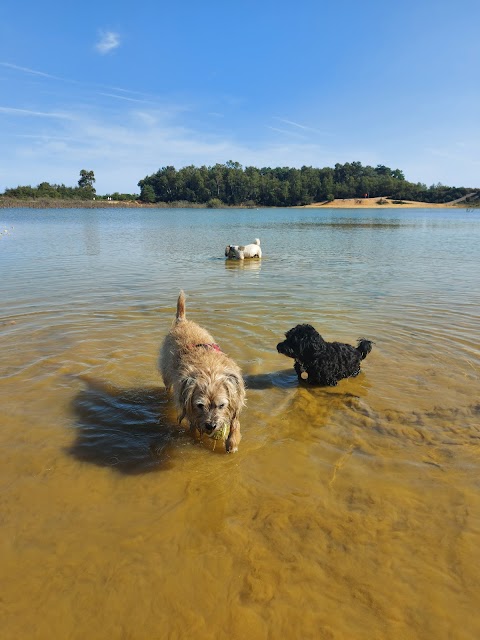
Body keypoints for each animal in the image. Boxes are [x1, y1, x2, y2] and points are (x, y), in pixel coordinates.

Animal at [159, 292, 246, 452]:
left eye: (221, 405)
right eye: (200, 405)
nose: (211, 425)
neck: (210, 372)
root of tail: (182, 321)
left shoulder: (236, 396)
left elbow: (235, 422)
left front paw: (232, 442)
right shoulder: (188, 405)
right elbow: (193, 424)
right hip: (166, 374)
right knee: (168, 386)